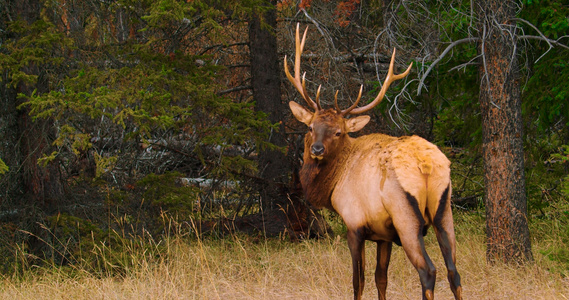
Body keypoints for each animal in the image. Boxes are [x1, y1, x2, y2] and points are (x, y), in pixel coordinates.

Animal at [284, 24, 462, 300]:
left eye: (339, 132)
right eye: (311, 127)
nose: (316, 149)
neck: (333, 184)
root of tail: (426, 166)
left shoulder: (354, 225)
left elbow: (358, 281)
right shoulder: (383, 236)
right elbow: (381, 279)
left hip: (406, 217)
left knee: (428, 271)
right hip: (444, 210)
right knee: (454, 272)